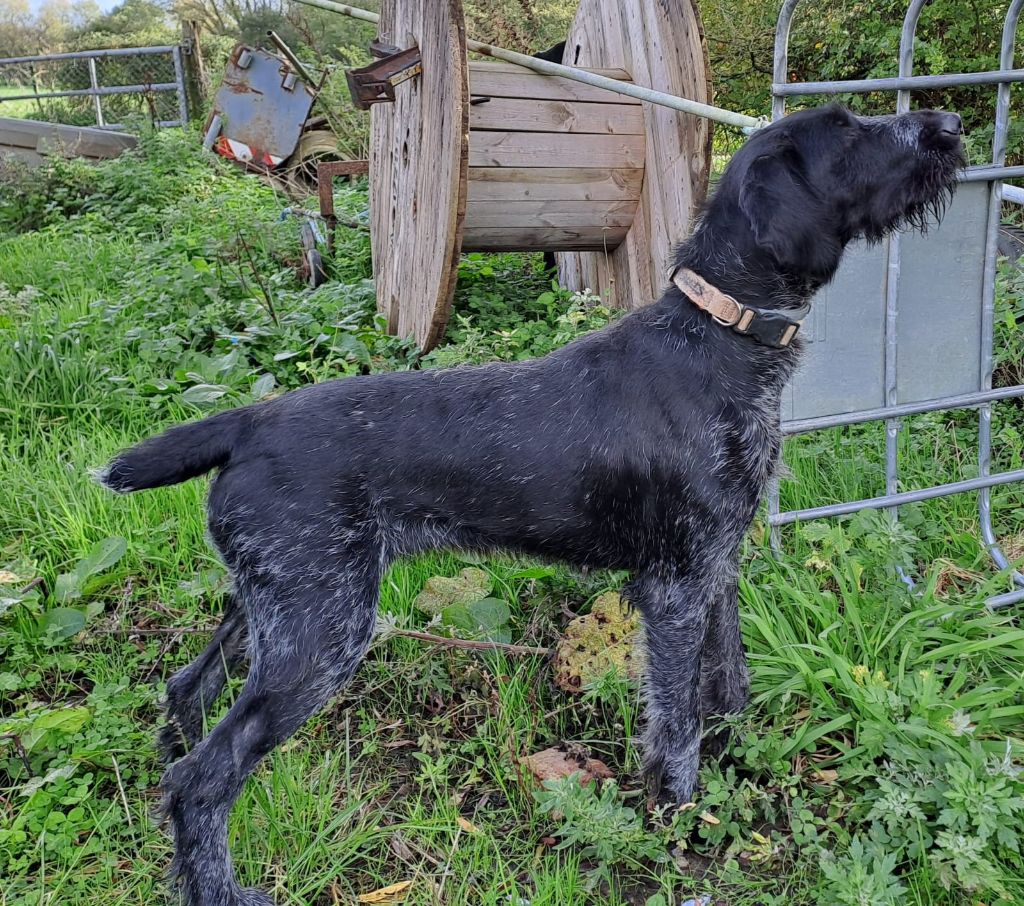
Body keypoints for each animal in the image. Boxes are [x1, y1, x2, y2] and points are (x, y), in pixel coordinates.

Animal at [94, 102, 958, 900]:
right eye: (847, 132)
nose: (948, 122)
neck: (719, 337)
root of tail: (248, 421)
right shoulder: (676, 589)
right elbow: (677, 723)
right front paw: (678, 825)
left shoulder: (718, 569)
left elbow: (729, 687)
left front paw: (737, 772)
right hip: (322, 632)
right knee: (202, 780)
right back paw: (220, 887)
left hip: (271, 610)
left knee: (186, 693)